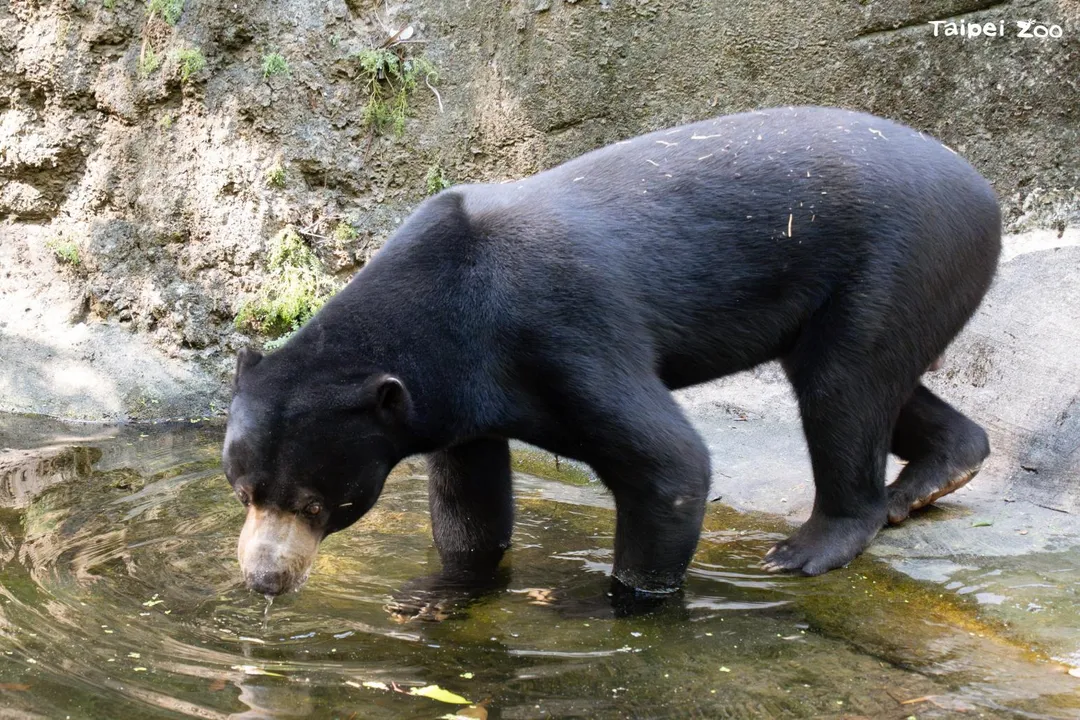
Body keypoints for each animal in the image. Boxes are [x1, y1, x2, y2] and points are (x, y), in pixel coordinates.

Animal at [223, 106, 1000, 599]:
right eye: (244, 492)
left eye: (319, 503)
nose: (265, 580)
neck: (444, 306)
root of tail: (983, 188)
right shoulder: (455, 394)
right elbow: (470, 501)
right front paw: (446, 590)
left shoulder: (560, 333)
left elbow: (668, 463)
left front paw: (631, 601)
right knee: (866, 380)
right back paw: (939, 472)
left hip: (899, 258)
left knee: (844, 386)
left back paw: (811, 547)